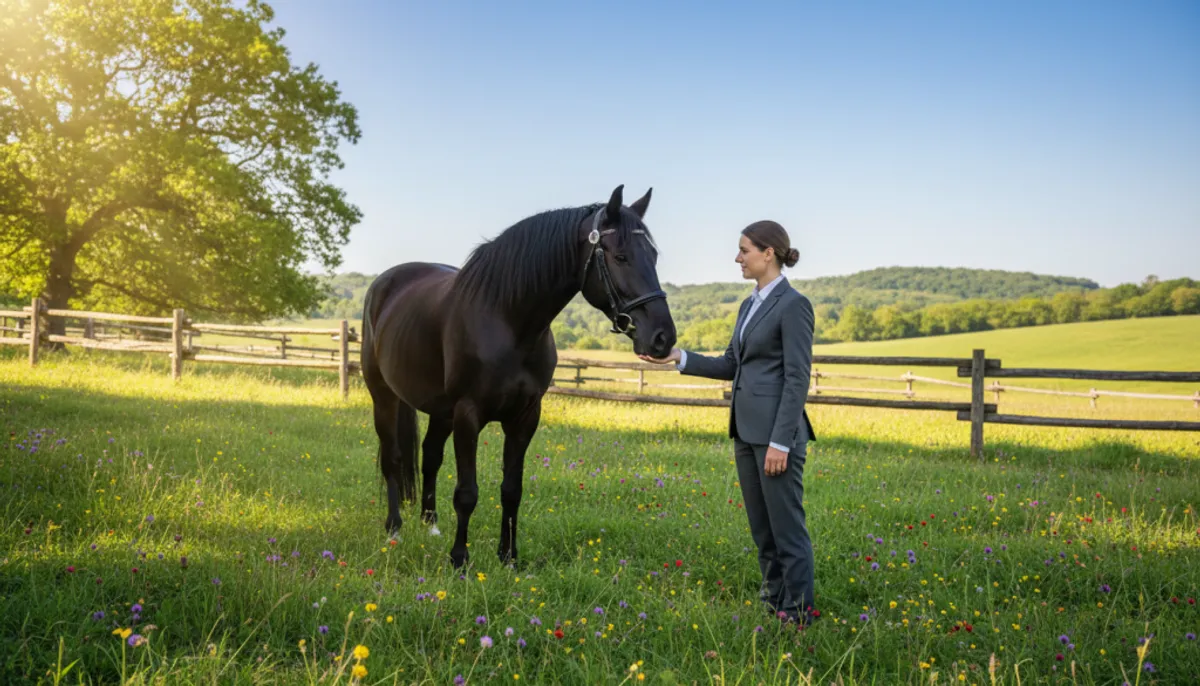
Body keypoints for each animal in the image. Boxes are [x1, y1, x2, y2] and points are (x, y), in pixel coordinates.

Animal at [360, 184, 677, 568]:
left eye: (653, 256)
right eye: (620, 257)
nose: (663, 338)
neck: (507, 319)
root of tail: (384, 284)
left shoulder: (525, 417)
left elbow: (512, 490)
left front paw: (508, 557)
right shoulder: (468, 415)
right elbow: (467, 493)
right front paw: (460, 560)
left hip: (440, 410)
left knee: (430, 455)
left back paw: (430, 524)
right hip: (384, 396)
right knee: (392, 458)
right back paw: (394, 528)